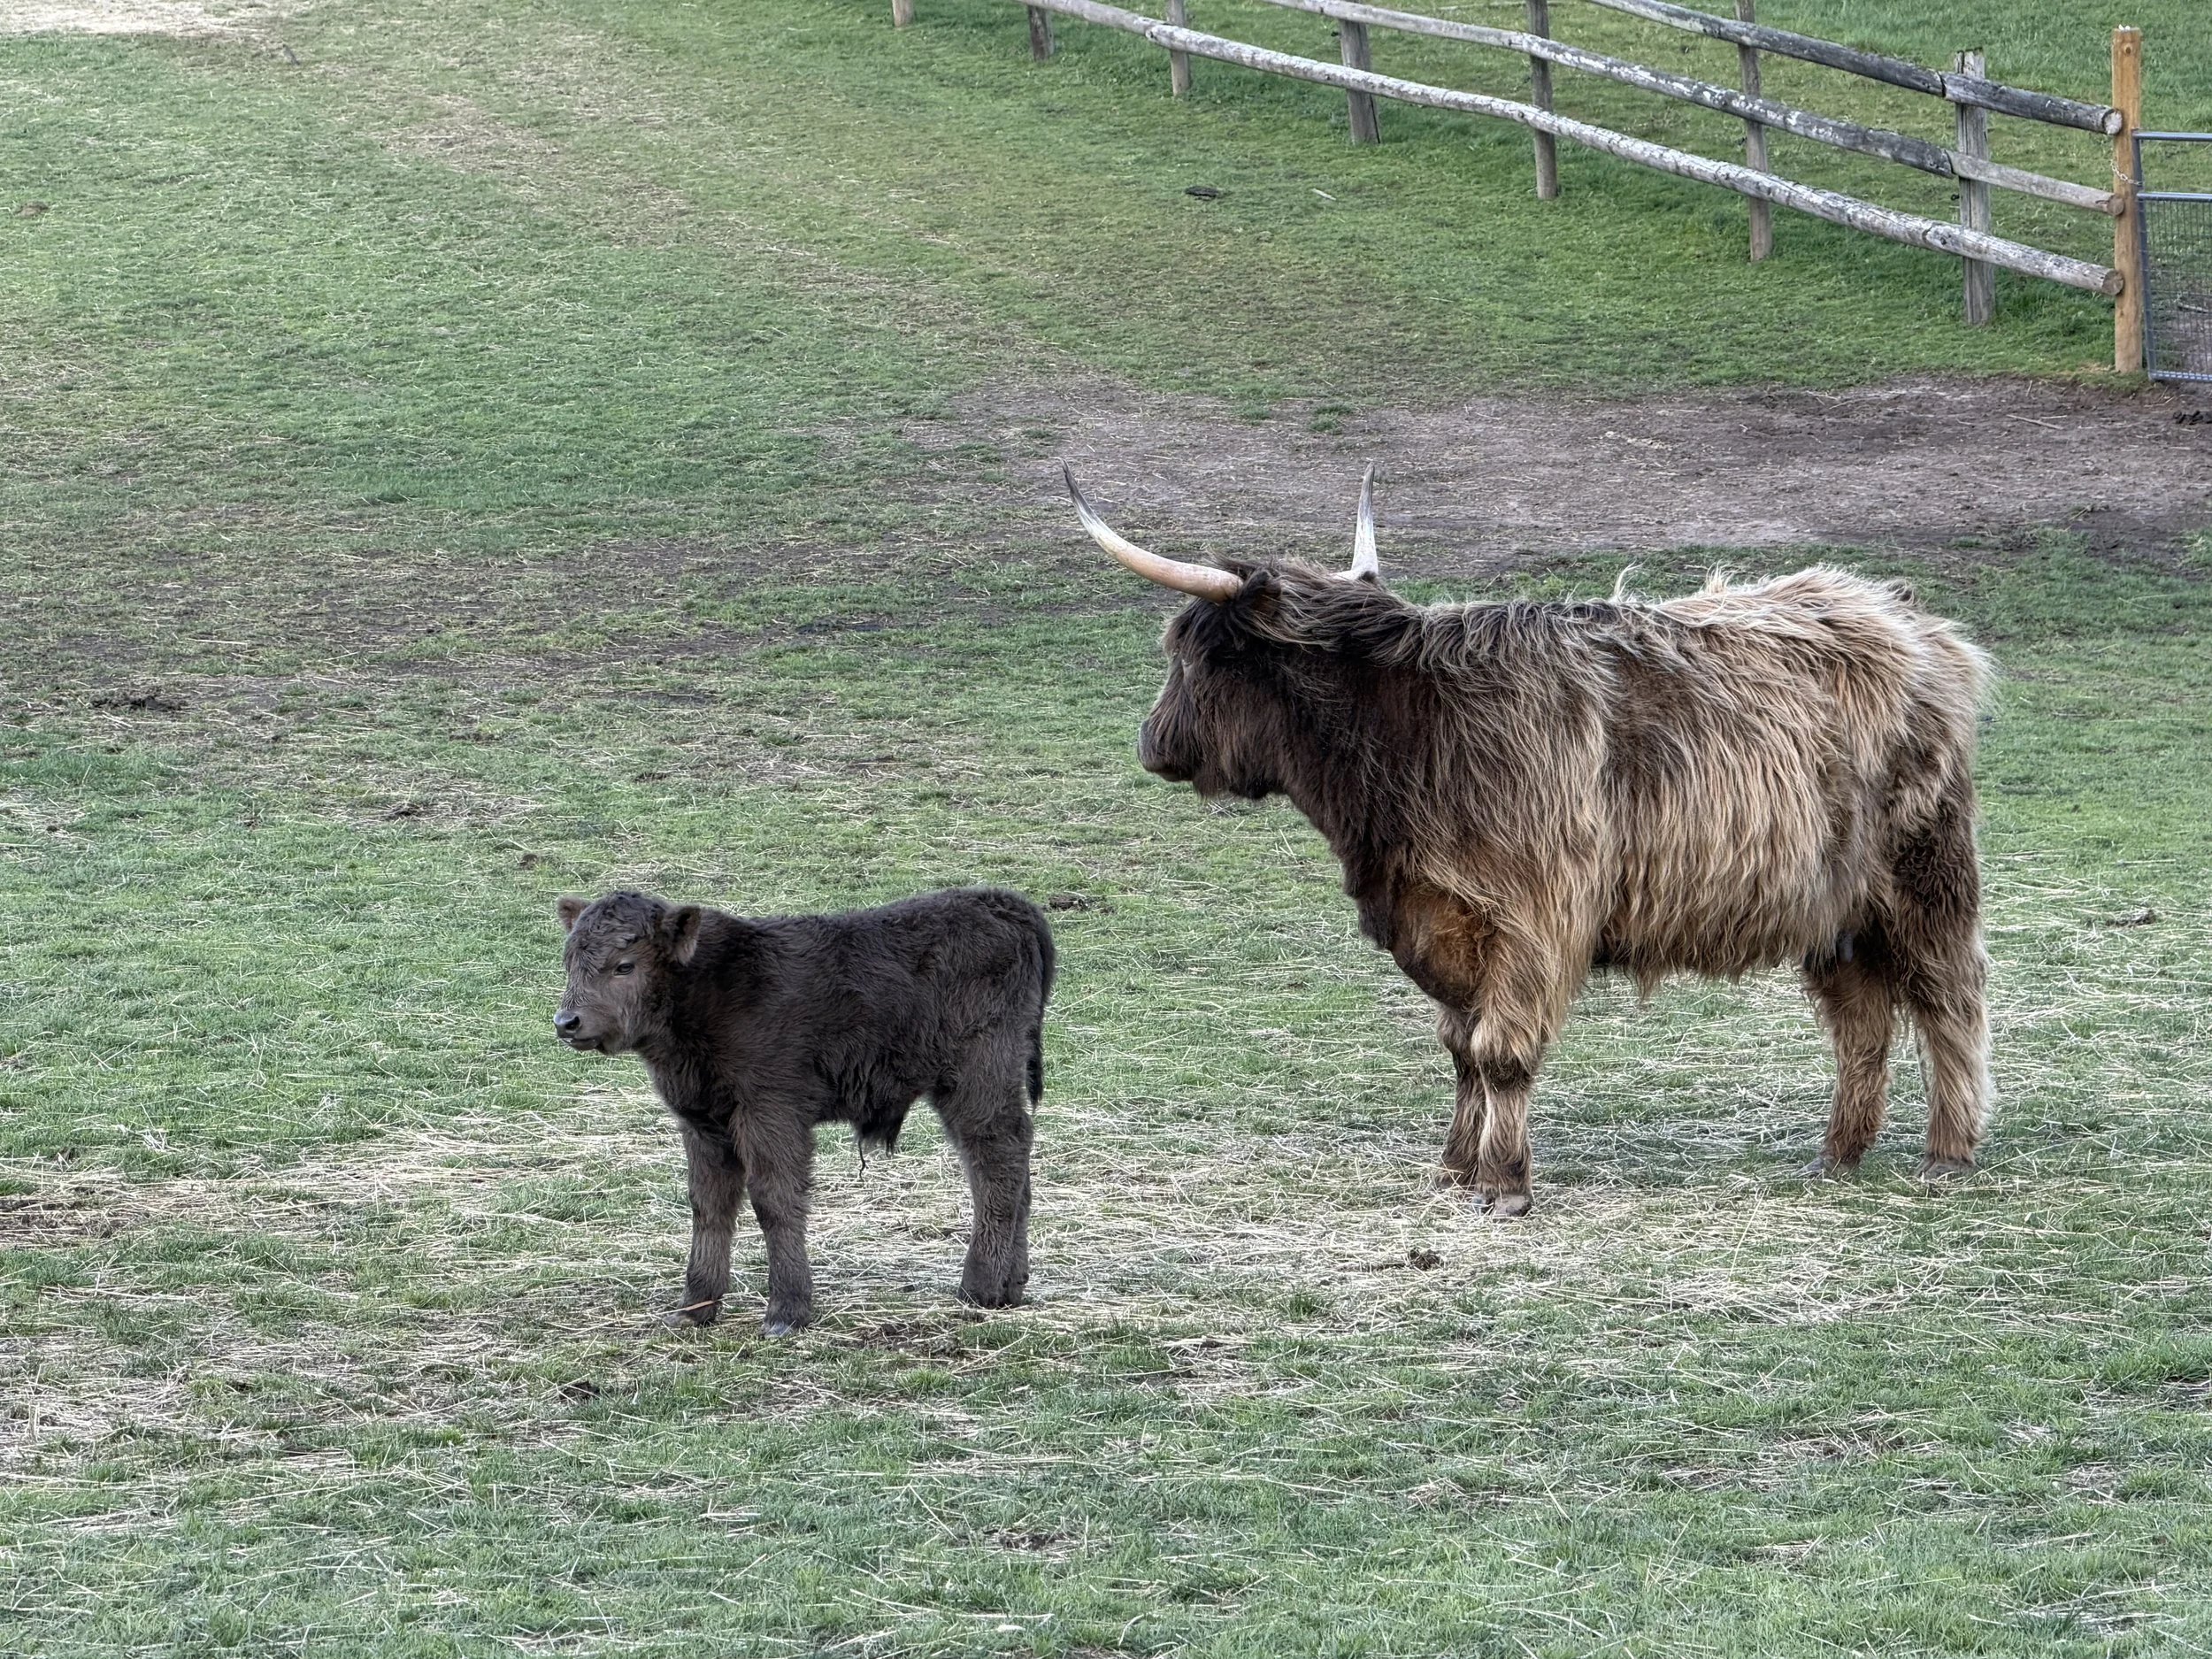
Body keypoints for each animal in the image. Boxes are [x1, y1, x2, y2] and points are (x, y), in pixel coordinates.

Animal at [555, 887, 1055, 1332]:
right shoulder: (703, 1122)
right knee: (1015, 1161)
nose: (566, 1022)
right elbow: (709, 1205)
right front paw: (695, 1307)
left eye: (625, 965)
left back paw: (980, 1286)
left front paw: (787, 1310)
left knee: (995, 1158)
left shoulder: (770, 1111)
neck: (712, 987)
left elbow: (774, 1201)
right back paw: (1011, 1285)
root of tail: (1003, 903)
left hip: (976, 1076)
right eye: (570, 961)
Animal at [1067, 466, 1991, 1215]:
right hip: (1833, 905)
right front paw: (1455, 1168)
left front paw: (1504, 1184)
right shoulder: (1442, 918)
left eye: (1190, 653)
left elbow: (1501, 1052)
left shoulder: (1534, 918)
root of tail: (1908, 618)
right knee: (1862, 1018)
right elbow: (1461, 1050)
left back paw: (1948, 1153)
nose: (1152, 742)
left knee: (1949, 998)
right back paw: (1838, 1154)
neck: (1406, 735)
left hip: (1925, 874)